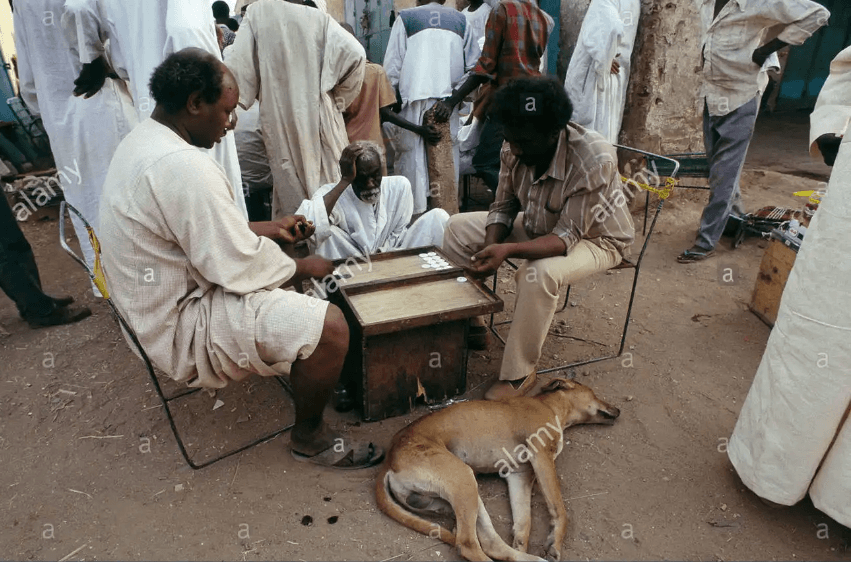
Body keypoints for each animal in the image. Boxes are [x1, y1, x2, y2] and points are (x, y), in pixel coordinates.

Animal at [378, 378, 620, 556]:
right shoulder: (541, 456)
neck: (549, 406)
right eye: (594, 394)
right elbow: (559, 508)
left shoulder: (520, 474)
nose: (618, 409)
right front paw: (555, 543)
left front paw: (522, 543)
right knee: (467, 543)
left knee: (489, 541)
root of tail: (389, 460)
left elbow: (524, 522)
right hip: (462, 478)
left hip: (459, 494)